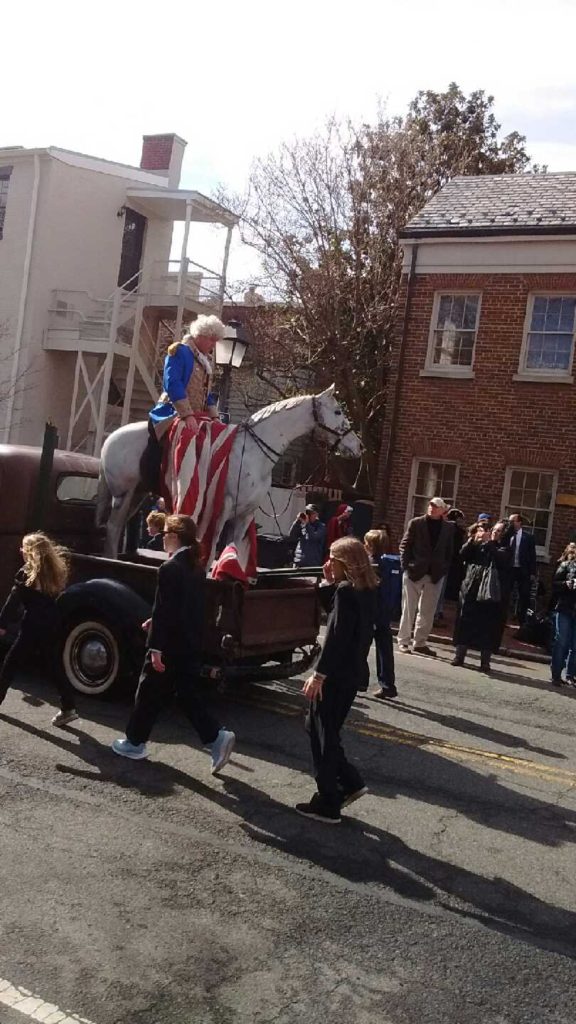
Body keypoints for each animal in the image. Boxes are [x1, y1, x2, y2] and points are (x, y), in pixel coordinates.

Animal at [96, 385, 360, 561]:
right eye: (338, 411)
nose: (358, 446)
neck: (253, 451)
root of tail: (110, 437)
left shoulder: (244, 515)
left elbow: (230, 551)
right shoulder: (221, 509)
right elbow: (212, 548)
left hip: (137, 495)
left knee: (116, 527)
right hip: (123, 495)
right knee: (113, 528)